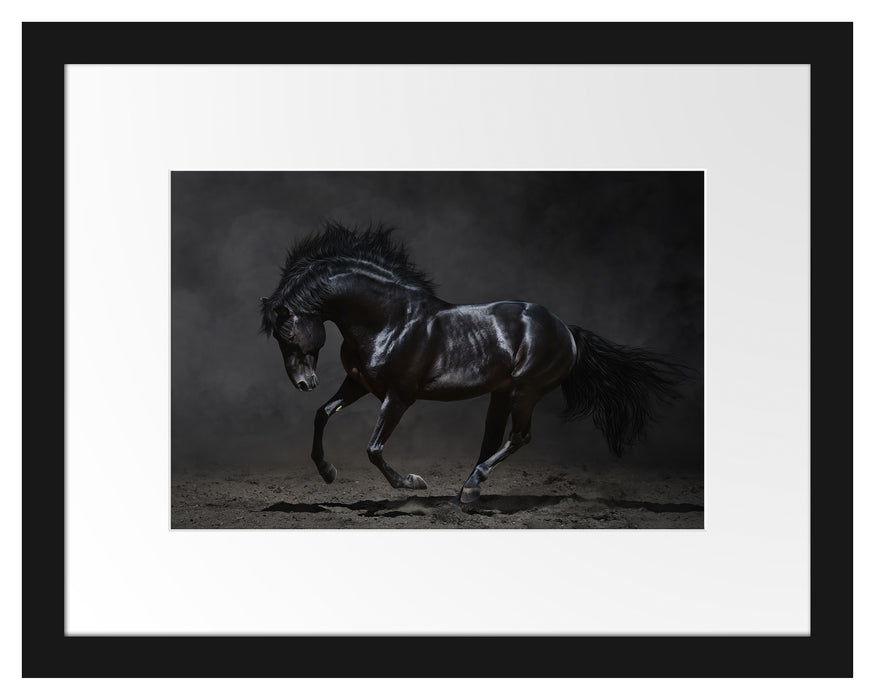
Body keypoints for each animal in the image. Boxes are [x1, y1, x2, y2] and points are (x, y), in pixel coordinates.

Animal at [260, 223, 684, 504]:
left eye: (288, 334)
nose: (304, 383)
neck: (389, 320)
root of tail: (566, 329)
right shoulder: (359, 384)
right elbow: (322, 414)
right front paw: (327, 472)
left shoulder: (398, 396)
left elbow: (374, 448)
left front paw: (414, 483)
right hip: (502, 393)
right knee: (493, 440)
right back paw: (466, 491)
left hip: (526, 391)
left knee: (519, 437)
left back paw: (471, 488)